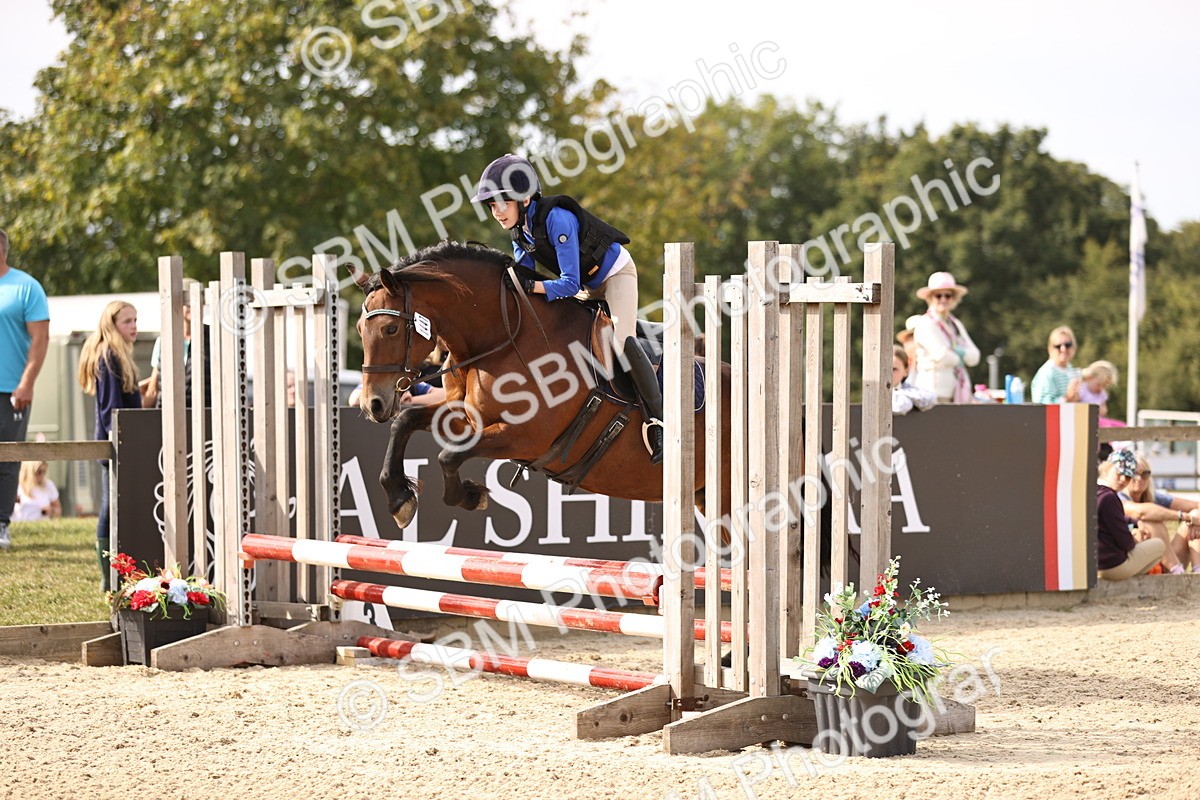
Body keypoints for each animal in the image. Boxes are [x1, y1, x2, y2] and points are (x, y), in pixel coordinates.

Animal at [352, 241, 732, 531]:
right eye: (358, 329)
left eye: (390, 329)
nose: (372, 404)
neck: (504, 338)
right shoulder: (466, 416)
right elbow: (405, 422)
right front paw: (400, 499)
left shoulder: (526, 436)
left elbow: (449, 456)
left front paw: (472, 496)